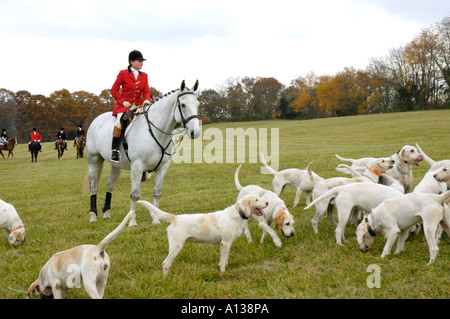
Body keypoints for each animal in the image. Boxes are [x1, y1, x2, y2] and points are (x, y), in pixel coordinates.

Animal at [85, 81, 200, 226]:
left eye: (197, 104)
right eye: (183, 104)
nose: (195, 132)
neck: (157, 131)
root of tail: (96, 120)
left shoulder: (163, 167)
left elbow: (157, 193)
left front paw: (156, 220)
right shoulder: (137, 166)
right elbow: (135, 194)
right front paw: (132, 222)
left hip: (116, 166)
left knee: (110, 185)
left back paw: (106, 213)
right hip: (94, 160)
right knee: (94, 187)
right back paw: (93, 216)